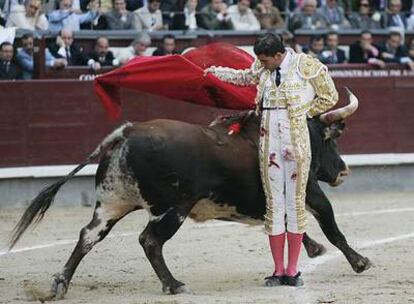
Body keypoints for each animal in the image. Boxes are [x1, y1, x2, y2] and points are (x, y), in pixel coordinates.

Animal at [9, 89, 372, 298]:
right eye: (330, 139)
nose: (343, 171)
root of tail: (127, 131)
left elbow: (288, 227)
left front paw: (313, 250)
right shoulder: (310, 192)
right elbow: (332, 229)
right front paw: (359, 262)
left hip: (112, 202)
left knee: (88, 235)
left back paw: (60, 284)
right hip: (172, 208)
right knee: (149, 240)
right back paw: (174, 284)